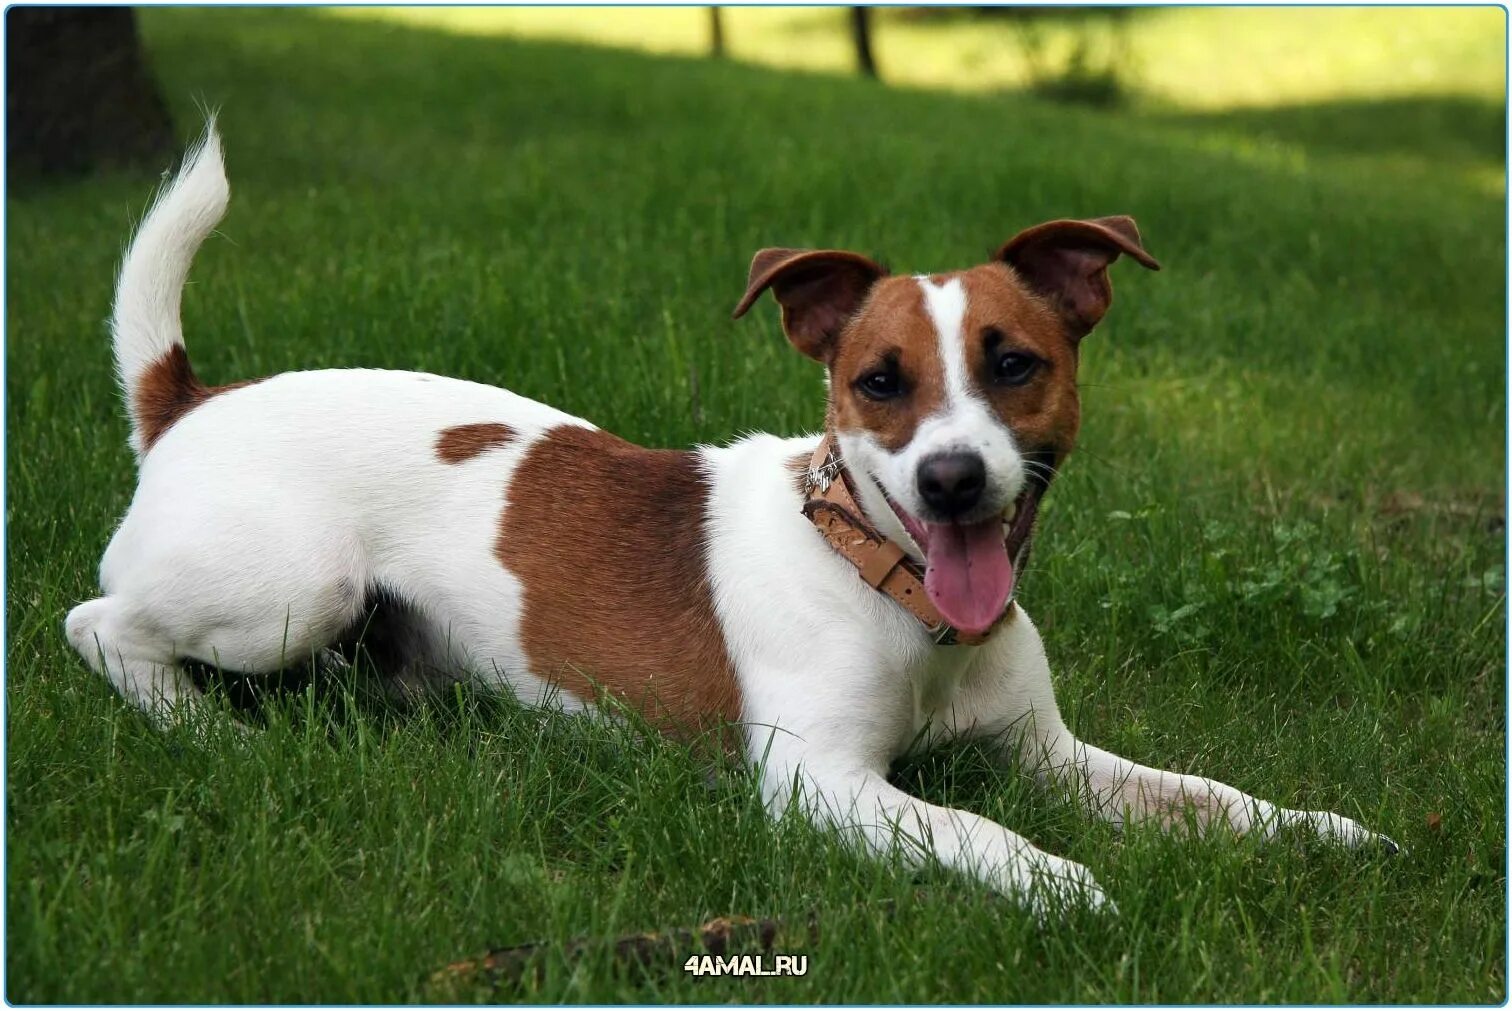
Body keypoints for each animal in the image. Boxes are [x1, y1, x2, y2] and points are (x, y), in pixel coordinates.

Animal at [68, 128, 1391, 912]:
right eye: (878, 381)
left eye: (1015, 363)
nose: (954, 481)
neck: (884, 582)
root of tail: (191, 402)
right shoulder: (824, 786)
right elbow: (977, 830)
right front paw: (1068, 885)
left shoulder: (1048, 755)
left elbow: (1208, 798)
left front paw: (1319, 831)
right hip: (294, 594)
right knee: (100, 625)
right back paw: (210, 731)